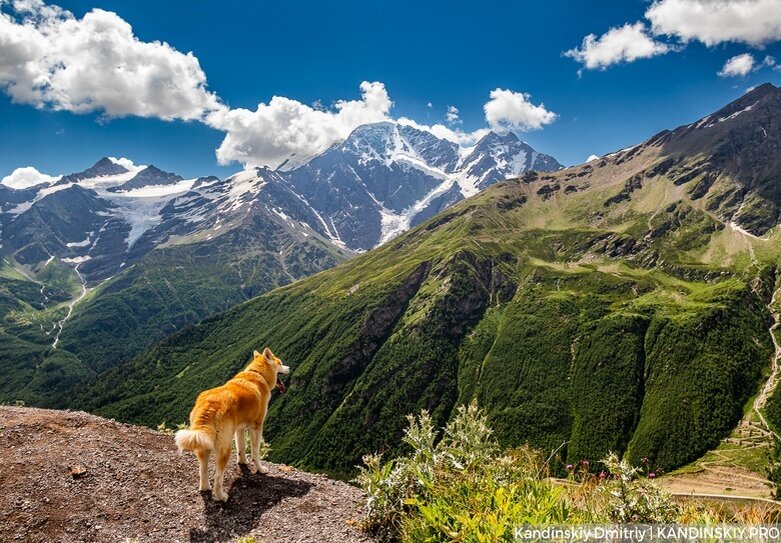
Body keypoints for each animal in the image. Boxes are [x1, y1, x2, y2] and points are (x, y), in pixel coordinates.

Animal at [174, 348, 290, 502]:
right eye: (281, 363)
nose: (289, 368)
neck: (258, 374)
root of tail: (209, 405)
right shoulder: (256, 426)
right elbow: (255, 451)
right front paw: (260, 469)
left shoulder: (239, 428)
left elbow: (241, 447)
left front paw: (242, 462)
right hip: (224, 447)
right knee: (218, 476)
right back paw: (221, 496)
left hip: (203, 442)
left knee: (202, 469)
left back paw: (205, 488)